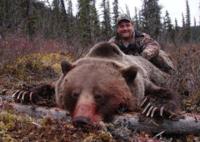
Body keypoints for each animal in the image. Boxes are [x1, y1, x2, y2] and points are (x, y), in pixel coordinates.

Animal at [12, 41, 180, 127]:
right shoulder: (60, 81)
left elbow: (164, 91)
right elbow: (48, 85)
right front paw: (24, 93)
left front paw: (156, 108)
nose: (81, 119)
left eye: (99, 95)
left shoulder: (143, 83)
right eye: (74, 93)